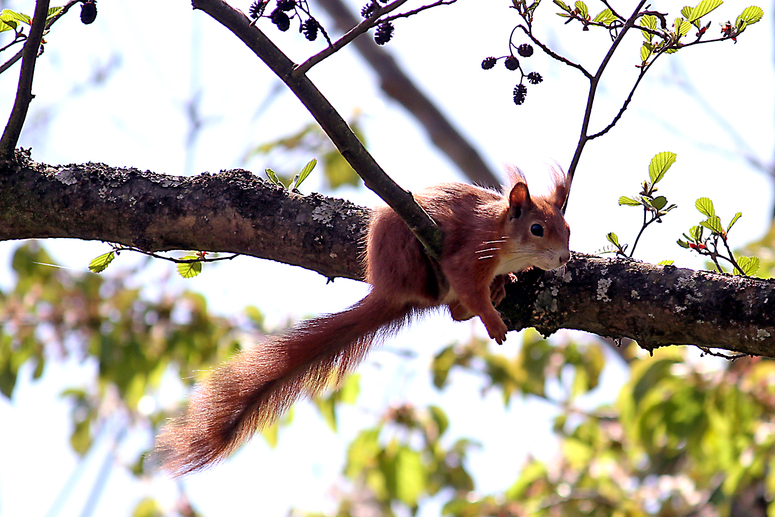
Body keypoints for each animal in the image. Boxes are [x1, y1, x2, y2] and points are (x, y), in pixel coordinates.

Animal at [156, 167, 568, 474]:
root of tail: (388, 289)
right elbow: (468, 285)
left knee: (453, 311)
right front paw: (492, 321)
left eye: (567, 228)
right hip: (408, 251)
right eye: (536, 229)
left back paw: (498, 287)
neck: (502, 235)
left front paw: (504, 282)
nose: (564, 258)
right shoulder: (471, 254)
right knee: (446, 297)